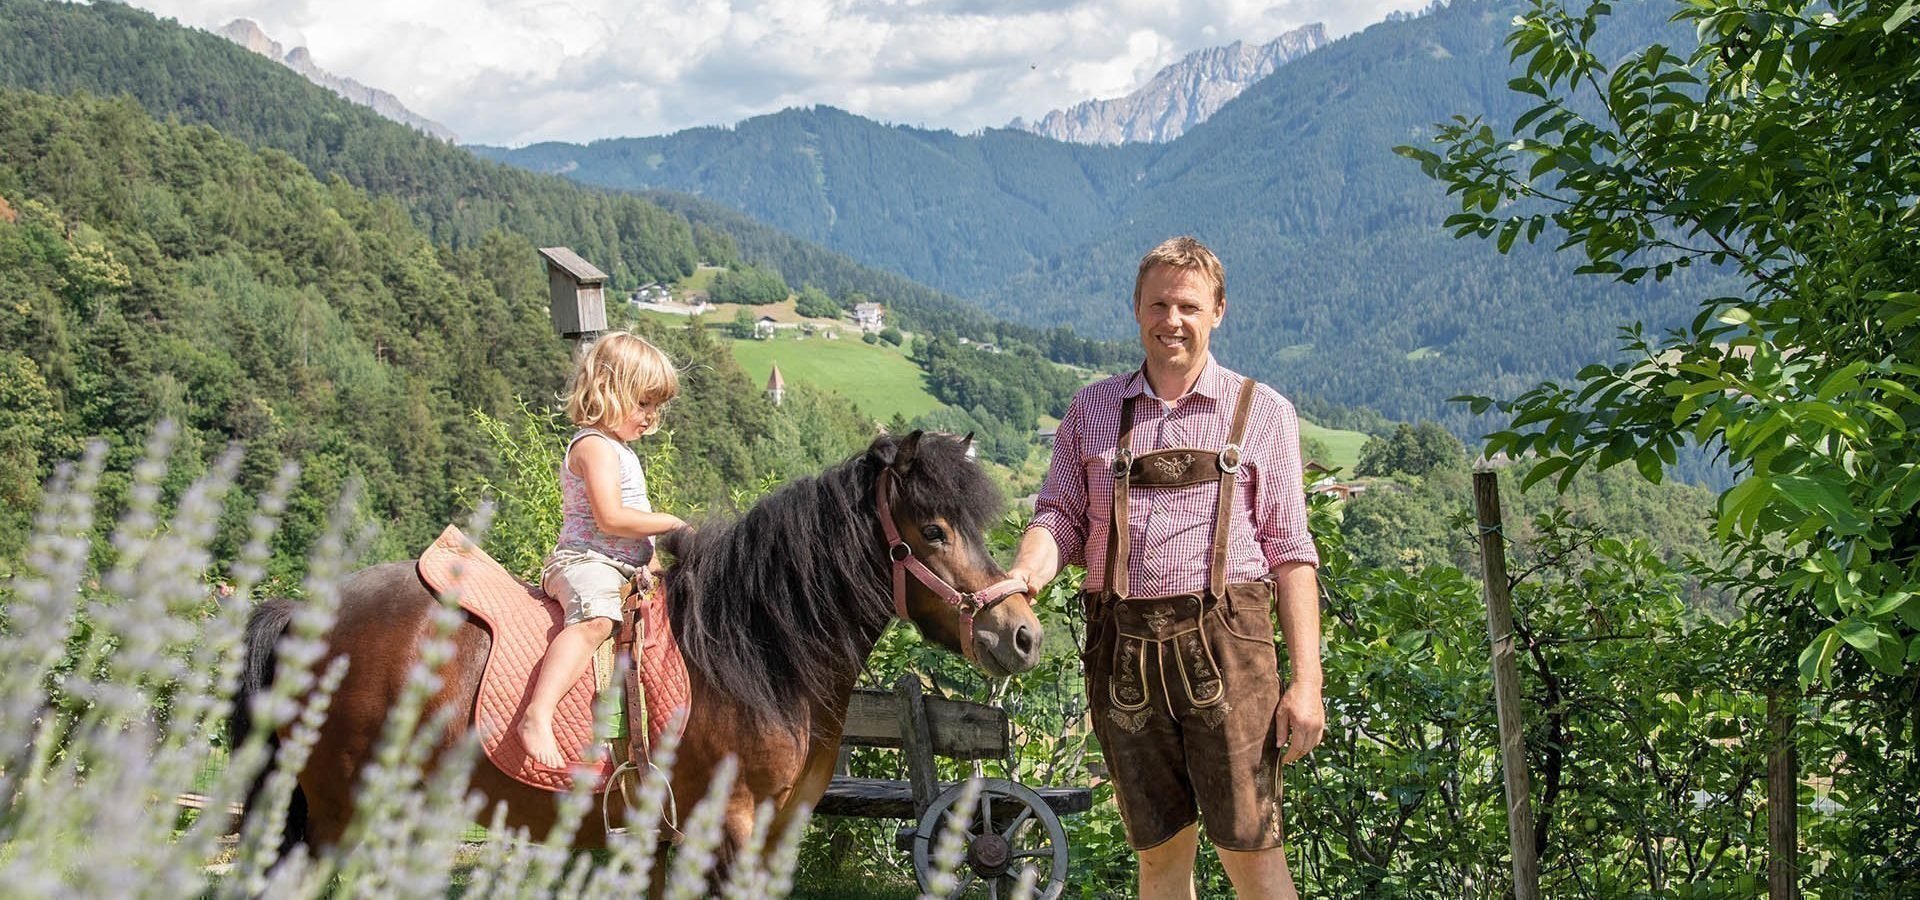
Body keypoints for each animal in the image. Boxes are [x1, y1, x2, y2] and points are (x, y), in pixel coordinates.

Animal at [236, 431, 1052, 867]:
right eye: (935, 531)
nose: (1022, 633)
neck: (755, 653)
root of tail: (306, 611)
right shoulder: (727, 830)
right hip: (336, 817)